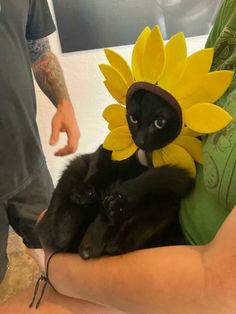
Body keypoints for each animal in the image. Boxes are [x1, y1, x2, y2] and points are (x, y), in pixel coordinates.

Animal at [37, 86, 195, 260]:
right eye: (133, 119)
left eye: (160, 123)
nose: (140, 140)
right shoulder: (108, 152)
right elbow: (99, 169)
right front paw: (88, 193)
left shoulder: (168, 201)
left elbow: (146, 220)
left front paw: (115, 241)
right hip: (75, 168)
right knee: (63, 229)